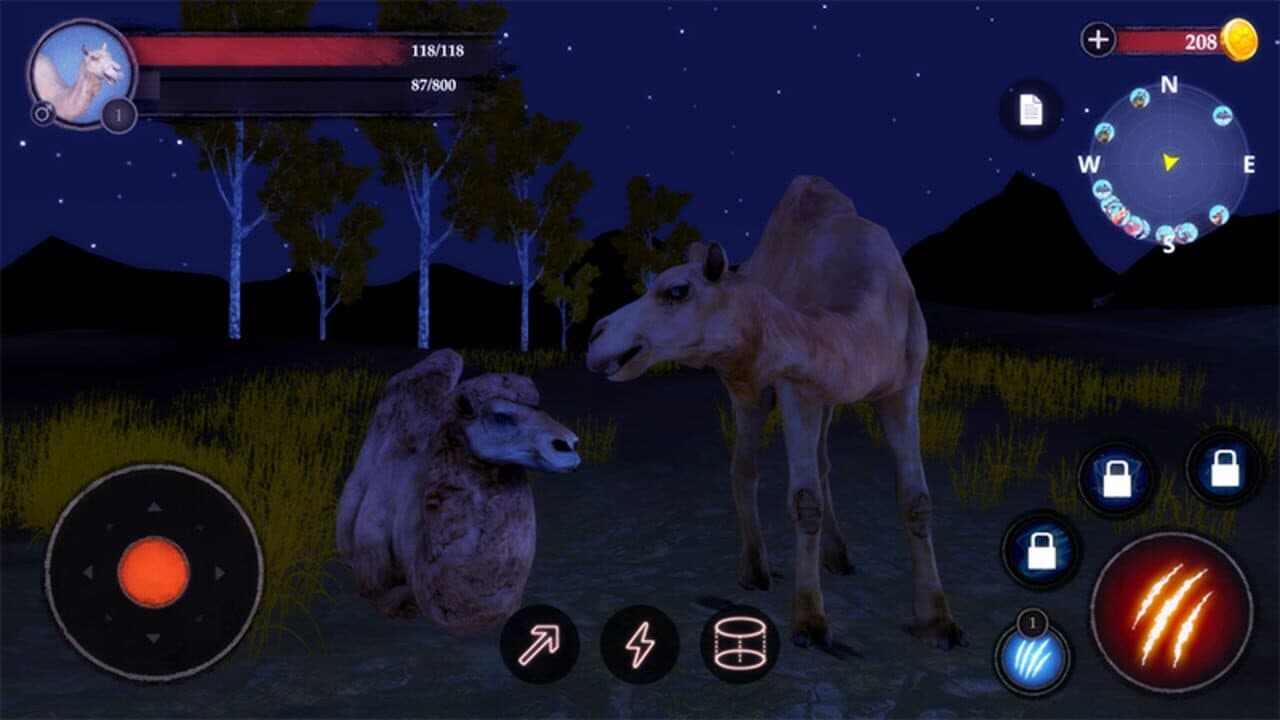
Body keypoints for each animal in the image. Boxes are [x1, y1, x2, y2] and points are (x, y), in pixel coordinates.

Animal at [586, 176, 967, 650]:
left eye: (677, 291)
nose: (596, 335)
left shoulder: (902, 385)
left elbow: (917, 501)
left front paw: (940, 623)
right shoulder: (793, 386)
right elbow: (805, 501)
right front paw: (810, 622)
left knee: (819, 462)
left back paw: (838, 558)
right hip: (745, 385)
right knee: (745, 467)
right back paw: (755, 571)